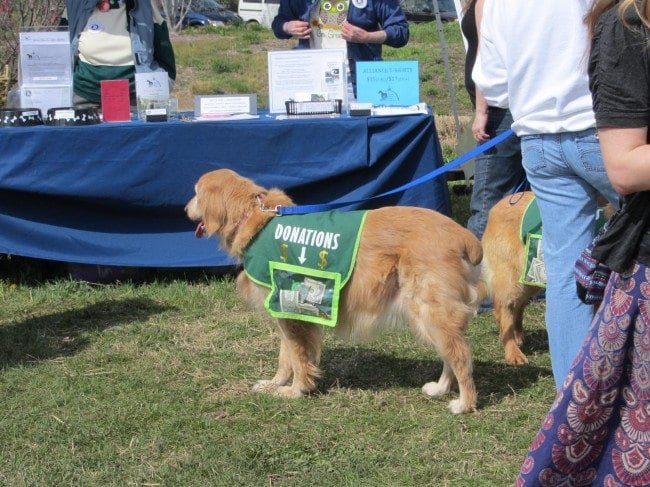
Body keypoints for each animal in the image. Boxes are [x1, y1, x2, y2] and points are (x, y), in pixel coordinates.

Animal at [185, 170, 484, 414]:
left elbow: (297, 357)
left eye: (196, 192)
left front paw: (295, 390)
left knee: (459, 354)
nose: (184, 208)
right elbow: (285, 357)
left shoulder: (290, 312)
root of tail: (463, 235)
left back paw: (465, 403)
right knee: (450, 353)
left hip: (429, 309)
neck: (255, 217)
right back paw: (441, 388)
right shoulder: (284, 308)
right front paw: (274, 384)